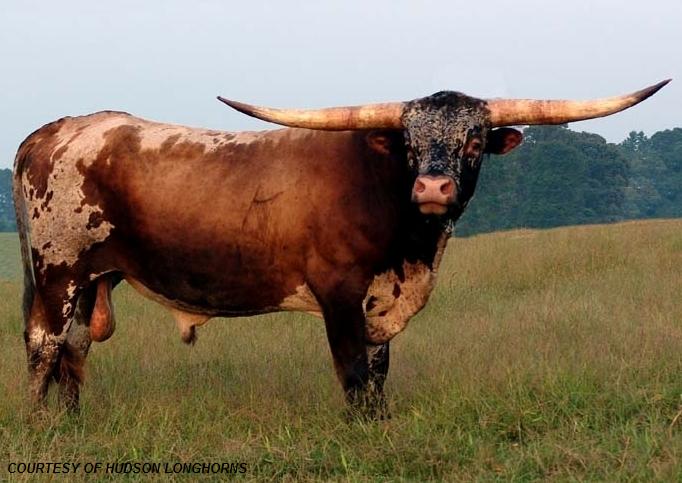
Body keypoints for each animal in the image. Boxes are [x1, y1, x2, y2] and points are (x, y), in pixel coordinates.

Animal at [13, 80, 669, 418]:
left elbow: (379, 371)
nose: (433, 188)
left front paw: (379, 423)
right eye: (408, 140)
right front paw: (361, 430)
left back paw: (71, 422)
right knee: (44, 345)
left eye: (474, 138)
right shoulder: (339, 293)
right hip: (58, 270)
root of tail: (54, 130)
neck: (413, 249)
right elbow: (353, 370)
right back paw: (41, 427)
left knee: (74, 349)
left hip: (93, 277)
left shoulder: (380, 300)